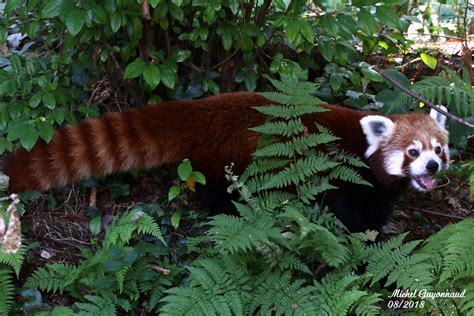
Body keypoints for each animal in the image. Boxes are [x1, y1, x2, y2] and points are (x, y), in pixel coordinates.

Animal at [0, 91, 450, 232]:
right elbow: (352, 218)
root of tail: (205, 108)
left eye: (438, 149)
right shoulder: (349, 181)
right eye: (412, 152)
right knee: (221, 198)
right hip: (229, 163)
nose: (432, 168)